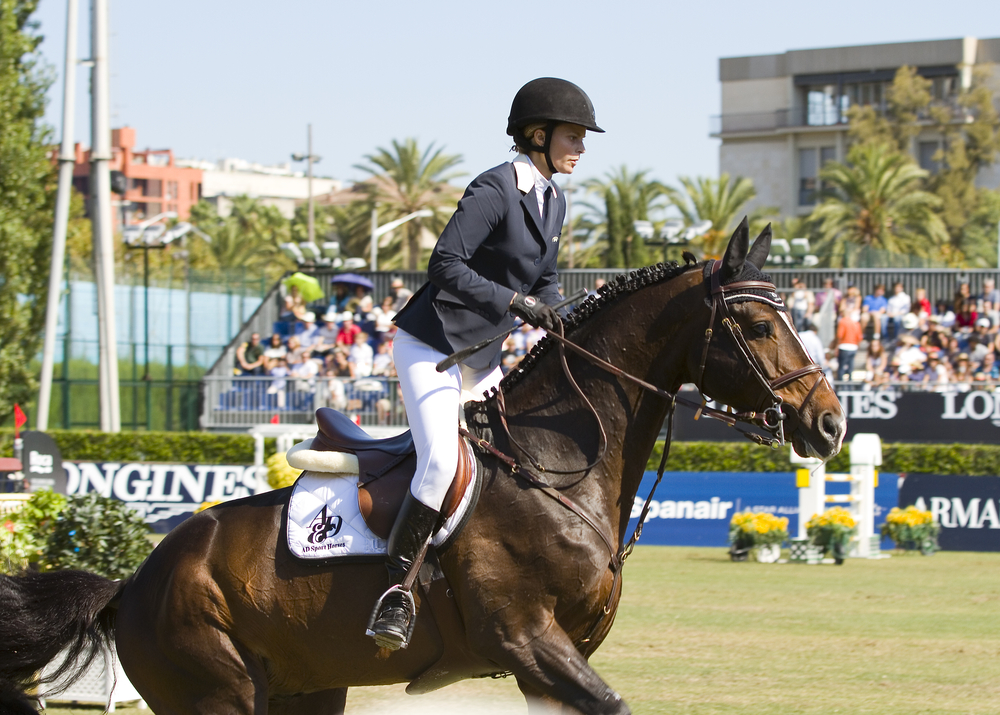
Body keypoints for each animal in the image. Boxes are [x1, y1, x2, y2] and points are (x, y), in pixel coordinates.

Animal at [0, 220, 844, 715]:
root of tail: (132, 582)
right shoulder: (527, 639)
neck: (557, 469)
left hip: (307, 689)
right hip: (216, 693)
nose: (830, 423)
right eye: (758, 325)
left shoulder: (554, 659)